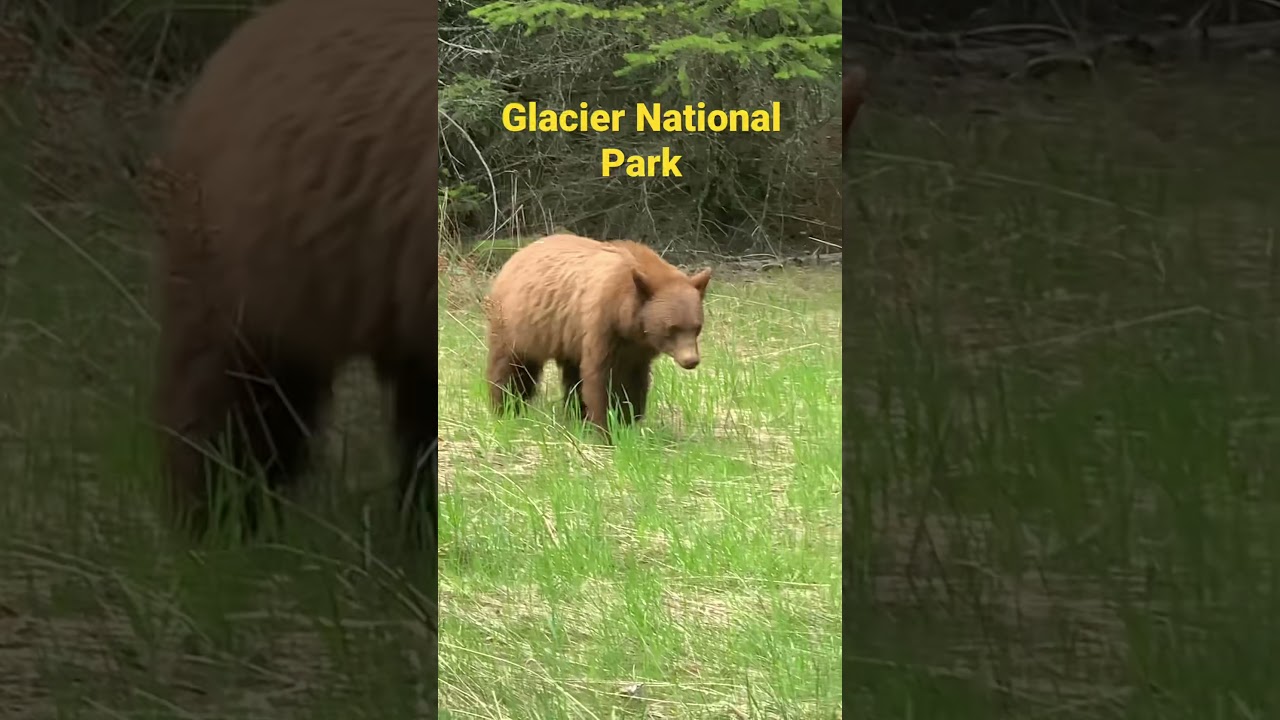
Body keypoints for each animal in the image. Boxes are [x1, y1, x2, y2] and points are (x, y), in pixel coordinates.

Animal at [484, 234, 712, 436]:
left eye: (696, 327)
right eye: (672, 328)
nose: (691, 360)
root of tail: (516, 256)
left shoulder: (636, 349)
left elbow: (636, 382)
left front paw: (629, 420)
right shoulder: (601, 326)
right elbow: (601, 377)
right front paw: (606, 427)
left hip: (567, 339)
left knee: (572, 375)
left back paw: (575, 416)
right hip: (519, 326)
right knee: (511, 368)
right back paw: (506, 409)